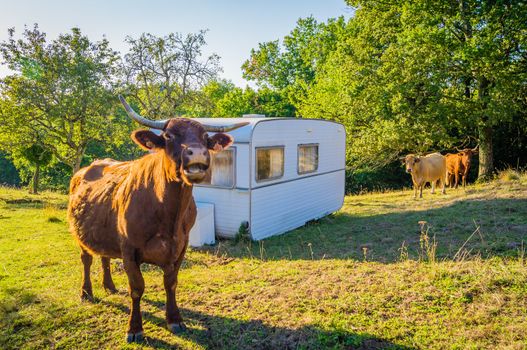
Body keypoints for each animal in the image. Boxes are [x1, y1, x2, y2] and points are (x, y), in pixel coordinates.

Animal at [68, 97, 250, 344]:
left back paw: (109, 286)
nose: (198, 153)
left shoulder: (180, 247)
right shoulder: (129, 249)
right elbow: (137, 288)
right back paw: (86, 292)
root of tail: (87, 168)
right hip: (79, 233)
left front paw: (175, 319)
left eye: (205, 137)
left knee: (104, 257)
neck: (169, 215)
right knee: (86, 259)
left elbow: (170, 283)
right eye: (169, 136)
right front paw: (134, 328)